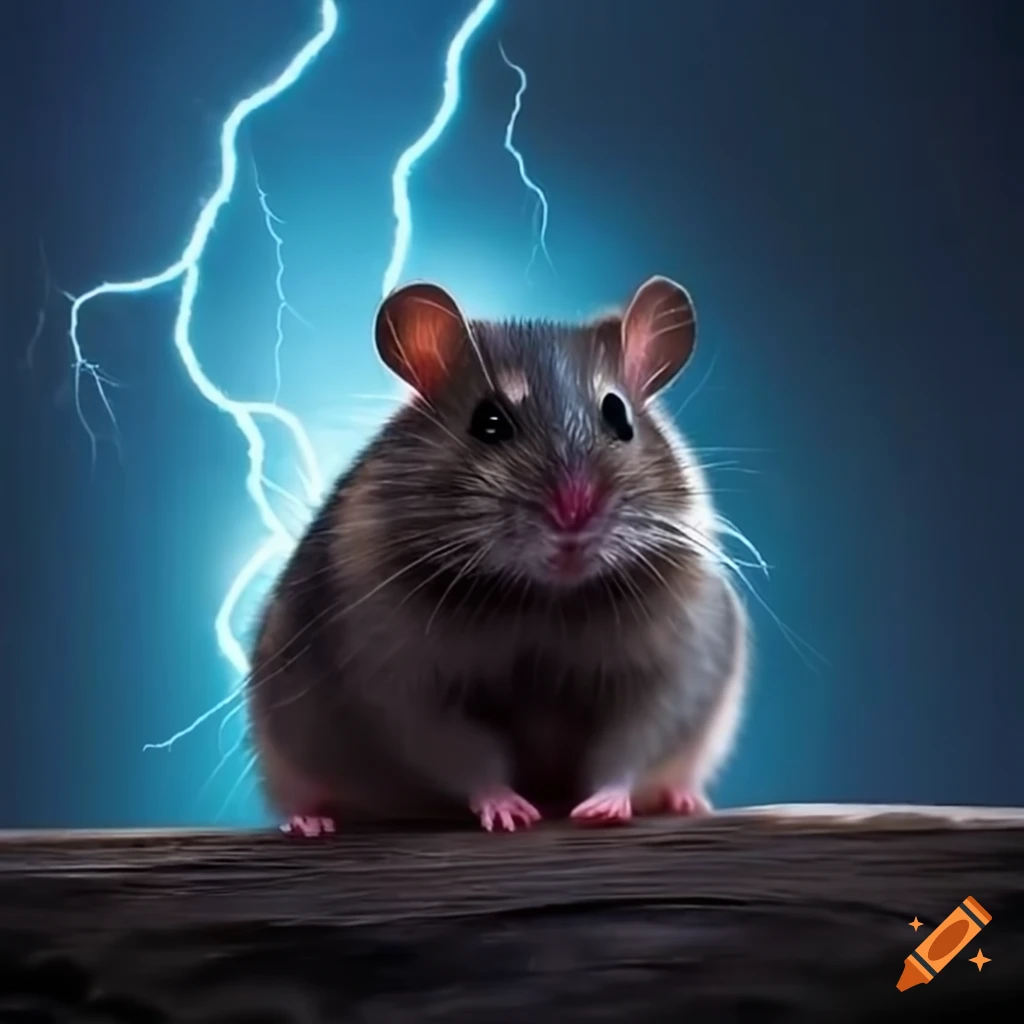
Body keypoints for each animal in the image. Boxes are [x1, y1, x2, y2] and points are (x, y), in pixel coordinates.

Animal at [247, 275, 748, 835]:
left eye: (618, 415)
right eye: (488, 422)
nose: (574, 511)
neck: (545, 598)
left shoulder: (668, 674)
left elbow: (629, 748)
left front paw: (601, 811)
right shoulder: (404, 688)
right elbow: (467, 758)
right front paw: (512, 812)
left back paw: (685, 800)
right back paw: (310, 822)